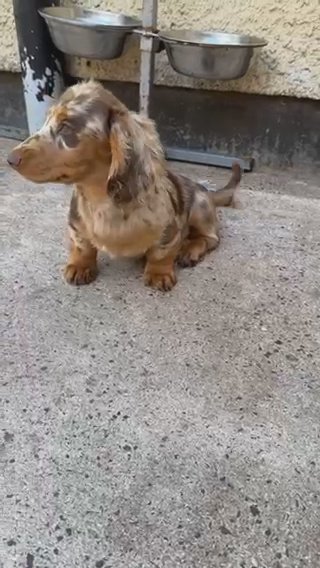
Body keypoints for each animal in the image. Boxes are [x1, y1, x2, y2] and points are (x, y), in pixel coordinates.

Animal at [7, 80, 241, 290]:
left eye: (65, 126)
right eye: (46, 121)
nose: (10, 159)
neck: (100, 199)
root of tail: (208, 192)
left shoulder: (169, 230)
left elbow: (161, 253)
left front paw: (159, 273)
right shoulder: (75, 225)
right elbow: (82, 247)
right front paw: (80, 266)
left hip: (200, 207)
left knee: (210, 238)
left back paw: (189, 250)